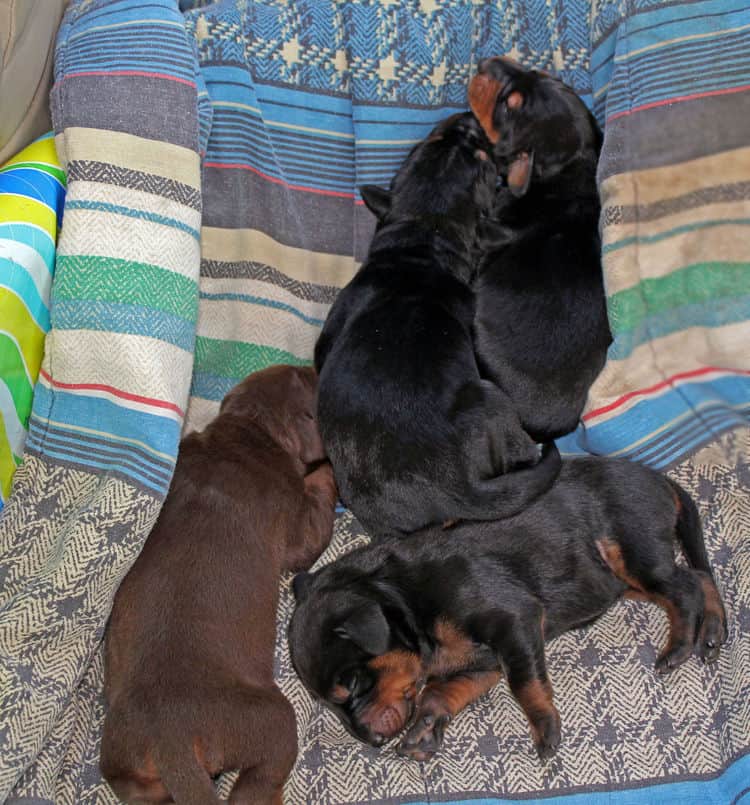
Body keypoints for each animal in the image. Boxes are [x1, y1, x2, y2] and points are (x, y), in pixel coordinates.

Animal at [100, 366, 338, 804]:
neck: (248, 431)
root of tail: (171, 739)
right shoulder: (300, 524)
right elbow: (316, 508)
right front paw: (327, 471)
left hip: (119, 756)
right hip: (269, 719)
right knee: (261, 777)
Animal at [290, 458, 728, 760]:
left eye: (355, 685)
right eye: (326, 702)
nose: (373, 741)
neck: (406, 601)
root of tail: (661, 479)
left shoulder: (512, 620)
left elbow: (525, 683)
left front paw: (545, 728)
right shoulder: (483, 663)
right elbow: (439, 691)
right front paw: (424, 728)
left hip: (633, 548)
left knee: (685, 586)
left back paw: (679, 645)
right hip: (625, 579)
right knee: (698, 575)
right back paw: (711, 632)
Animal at [314, 111, 560, 540]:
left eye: (425, 143)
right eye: (482, 161)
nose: (466, 120)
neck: (424, 236)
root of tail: (455, 487)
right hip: (493, 396)